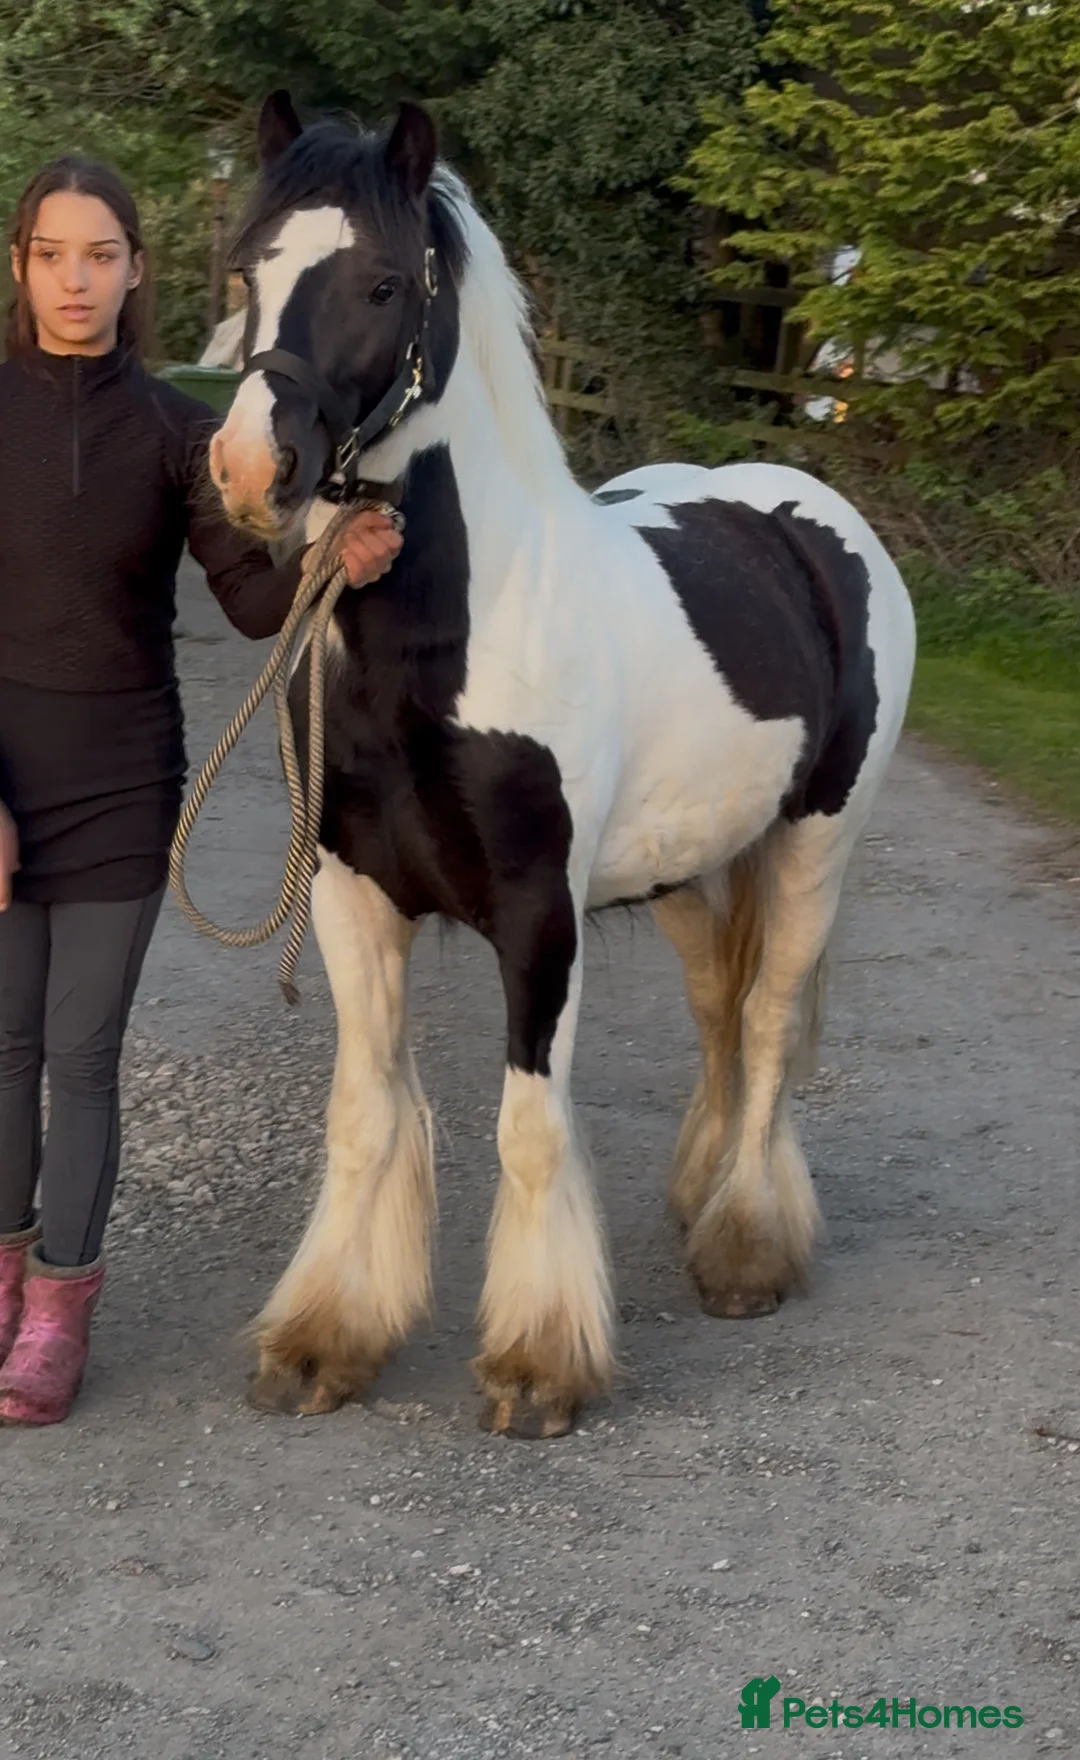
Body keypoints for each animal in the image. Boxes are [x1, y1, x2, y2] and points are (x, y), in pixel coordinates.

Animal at [208, 89, 916, 1439]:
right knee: (717, 1010)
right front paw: (326, 1337)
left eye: (384, 282)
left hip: (815, 845)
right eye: (247, 267)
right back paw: (699, 1192)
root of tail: (813, 516)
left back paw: (745, 1244)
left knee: (764, 1019)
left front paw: (539, 1363)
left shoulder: (541, 915)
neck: (451, 639)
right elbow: (363, 1114)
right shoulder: (353, 897)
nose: (247, 471)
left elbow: (530, 1125)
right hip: (686, 870)